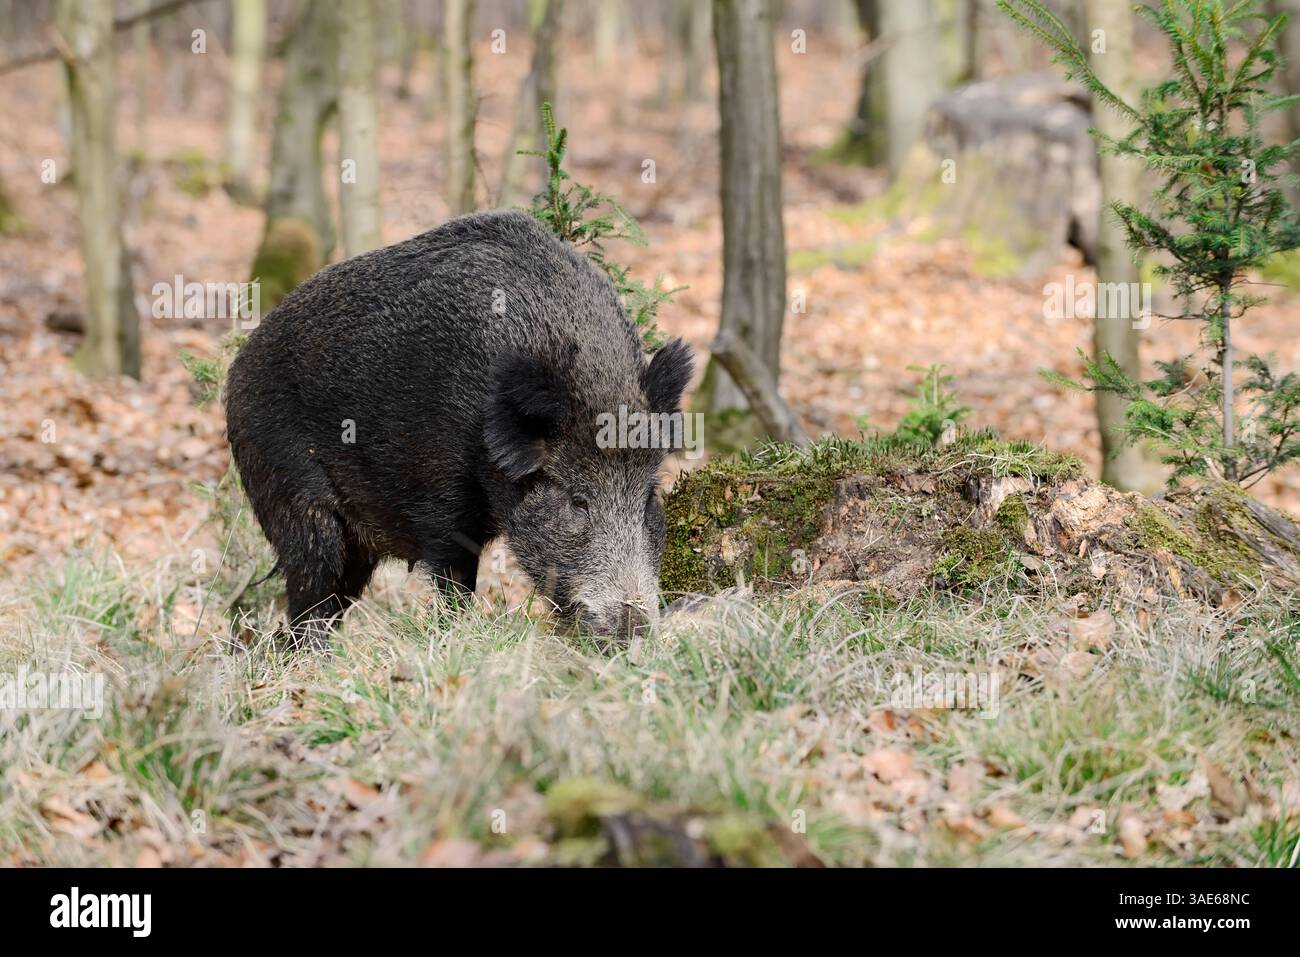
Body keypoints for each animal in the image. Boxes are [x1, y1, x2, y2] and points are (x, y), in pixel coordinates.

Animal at [224, 210, 693, 646]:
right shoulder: (437, 500)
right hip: (291, 495)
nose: (634, 631)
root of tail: (238, 367)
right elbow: (454, 579)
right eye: (578, 500)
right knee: (309, 588)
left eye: (648, 497)